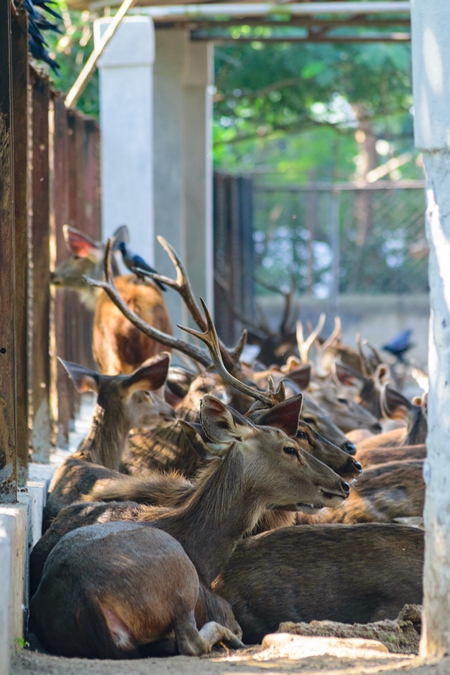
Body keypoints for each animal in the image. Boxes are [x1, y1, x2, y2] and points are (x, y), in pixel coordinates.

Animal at [29, 394, 350, 656]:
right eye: (290, 447)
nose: (344, 484)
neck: (205, 557)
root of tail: (86, 596)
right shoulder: (213, 600)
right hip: (179, 578)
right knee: (191, 641)